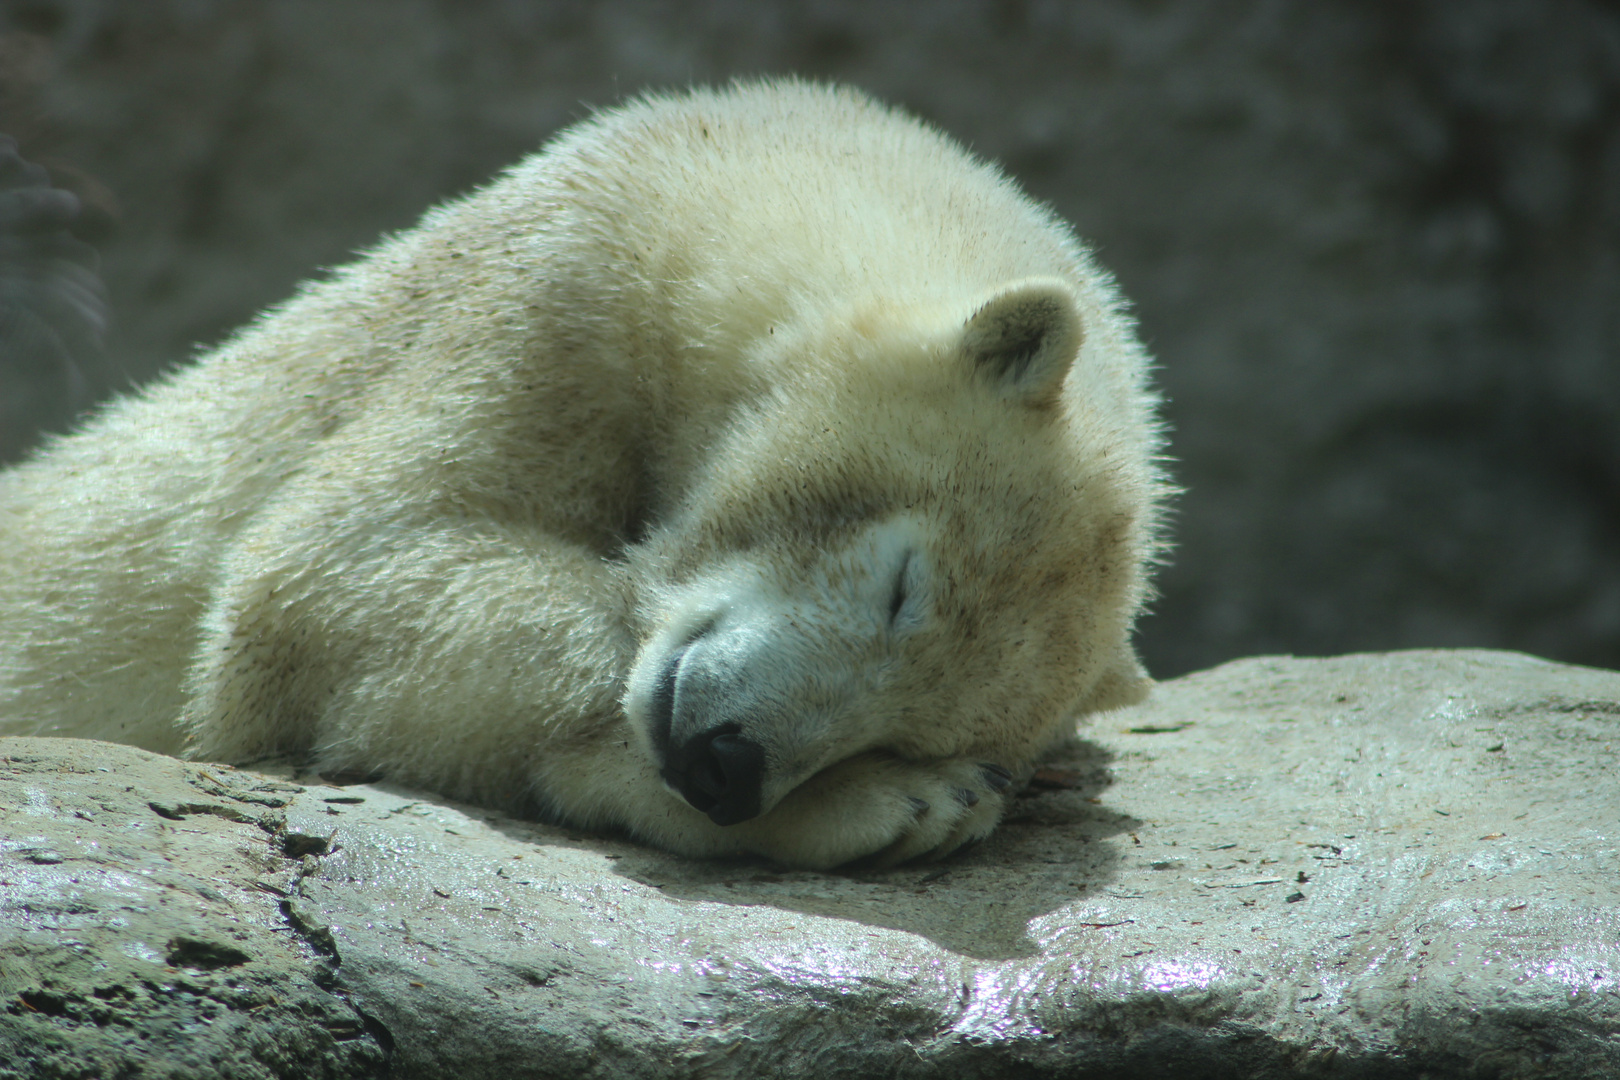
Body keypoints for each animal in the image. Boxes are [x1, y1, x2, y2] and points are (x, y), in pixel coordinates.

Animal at [0, 78, 1166, 867]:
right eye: (901, 585)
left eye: (921, 722)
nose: (726, 766)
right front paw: (899, 808)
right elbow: (332, 579)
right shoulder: (560, 293)